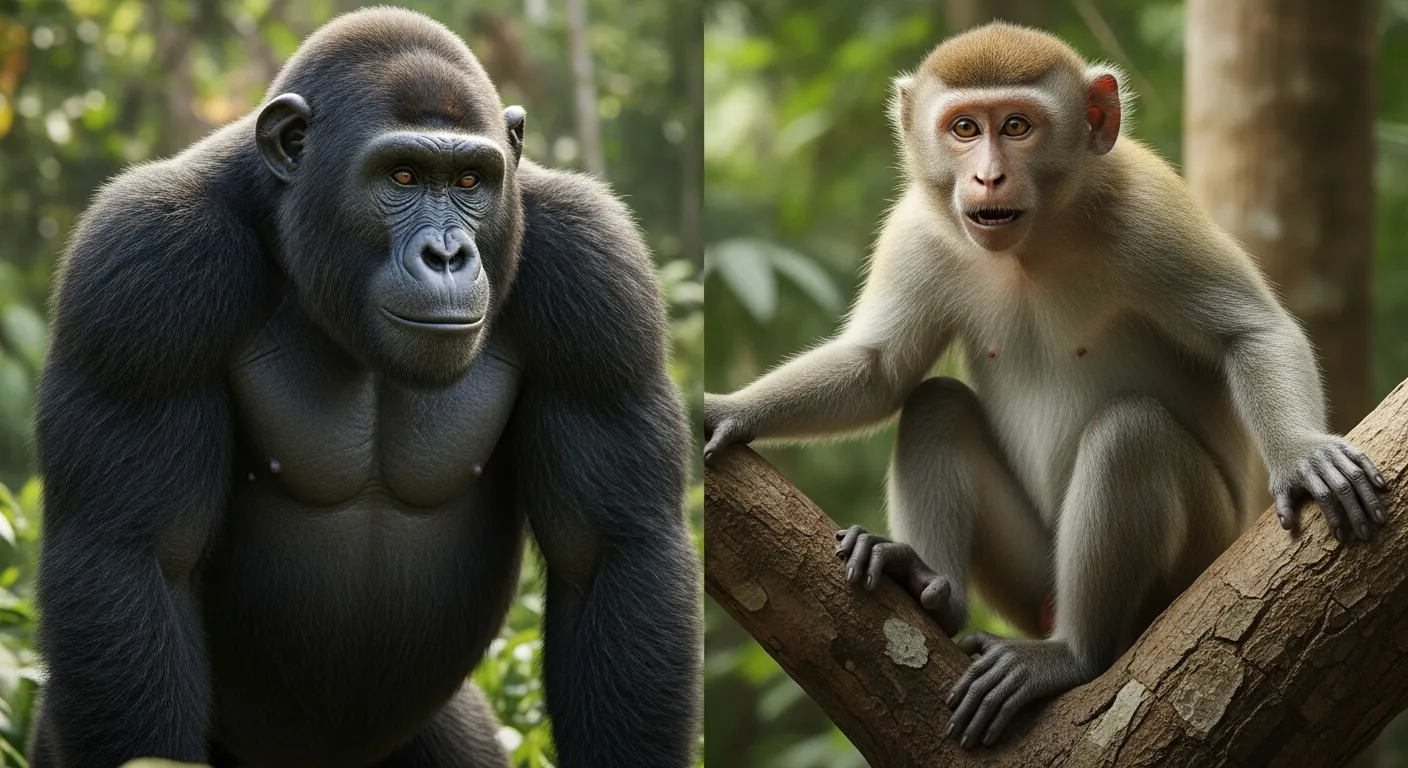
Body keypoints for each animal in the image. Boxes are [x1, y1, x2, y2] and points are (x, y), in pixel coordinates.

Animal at [703, 22, 1388, 749]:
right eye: (965, 128)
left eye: (1017, 125)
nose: (987, 176)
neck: (1037, 240)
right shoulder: (919, 229)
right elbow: (878, 369)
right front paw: (728, 412)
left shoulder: (1149, 208)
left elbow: (1252, 333)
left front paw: (1303, 455)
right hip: (1030, 575)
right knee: (936, 404)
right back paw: (928, 586)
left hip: (1200, 552)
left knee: (1130, 435)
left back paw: (1071, 655)